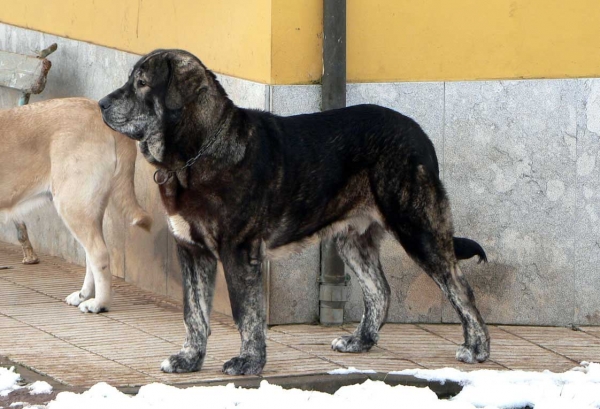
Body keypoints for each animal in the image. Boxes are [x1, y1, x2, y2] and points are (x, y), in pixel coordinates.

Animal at [0, 98, 150, 312]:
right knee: (91, 257)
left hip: (71, 205)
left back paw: (99, 304)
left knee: (98, 254)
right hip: (89, 209)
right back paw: (83, 295)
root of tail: (97, 110)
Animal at [99, 49, 492, 374]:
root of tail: (421, 135)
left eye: (142, 83)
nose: (101, 103)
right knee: (380, 291)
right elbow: (193, 312)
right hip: (353, 241)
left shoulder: (239, 251)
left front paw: (248, 361)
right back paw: (360, 341)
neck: (195, 153)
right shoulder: (192, 251)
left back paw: (477, 348)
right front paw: (189, 359)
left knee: (459, 287)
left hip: (417, 228)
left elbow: (246, 311)